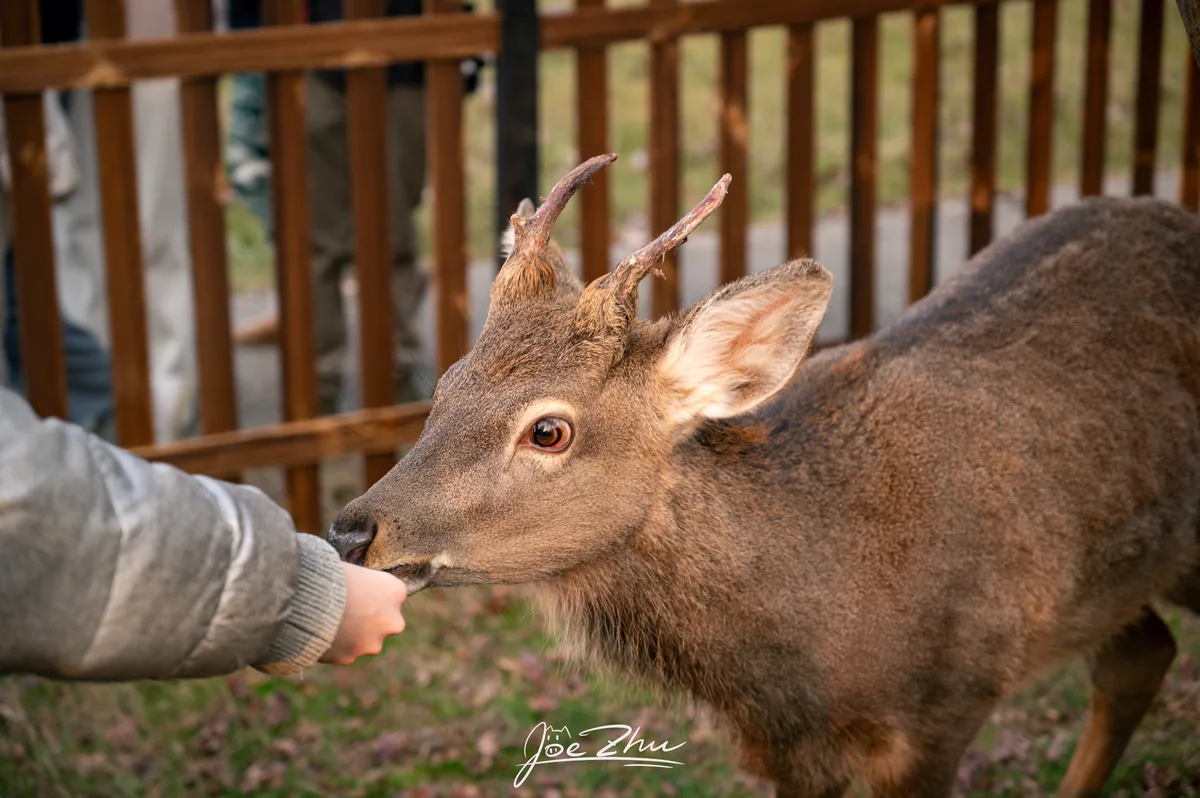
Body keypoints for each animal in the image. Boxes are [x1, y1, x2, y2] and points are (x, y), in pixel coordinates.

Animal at [327, 153, 1200, 797]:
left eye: (549, 430)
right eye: (445, 384)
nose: (352, 529)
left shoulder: (950, 702)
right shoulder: (791, 756)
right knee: (1141, 653)